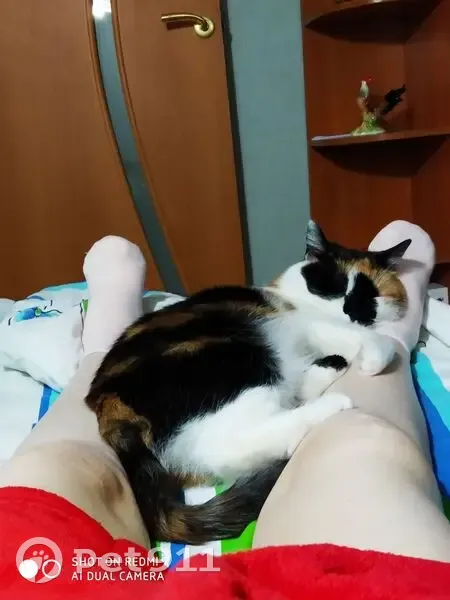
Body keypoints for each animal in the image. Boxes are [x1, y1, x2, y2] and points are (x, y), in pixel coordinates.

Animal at [85, 220, 411, 545]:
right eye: (333, 285)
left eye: (370, 296)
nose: (350, 311)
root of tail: (106, 404)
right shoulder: (306, 323)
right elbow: (372, 340)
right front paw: (373, 359)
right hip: (240, 357)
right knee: (229, 441)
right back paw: (331, 403)